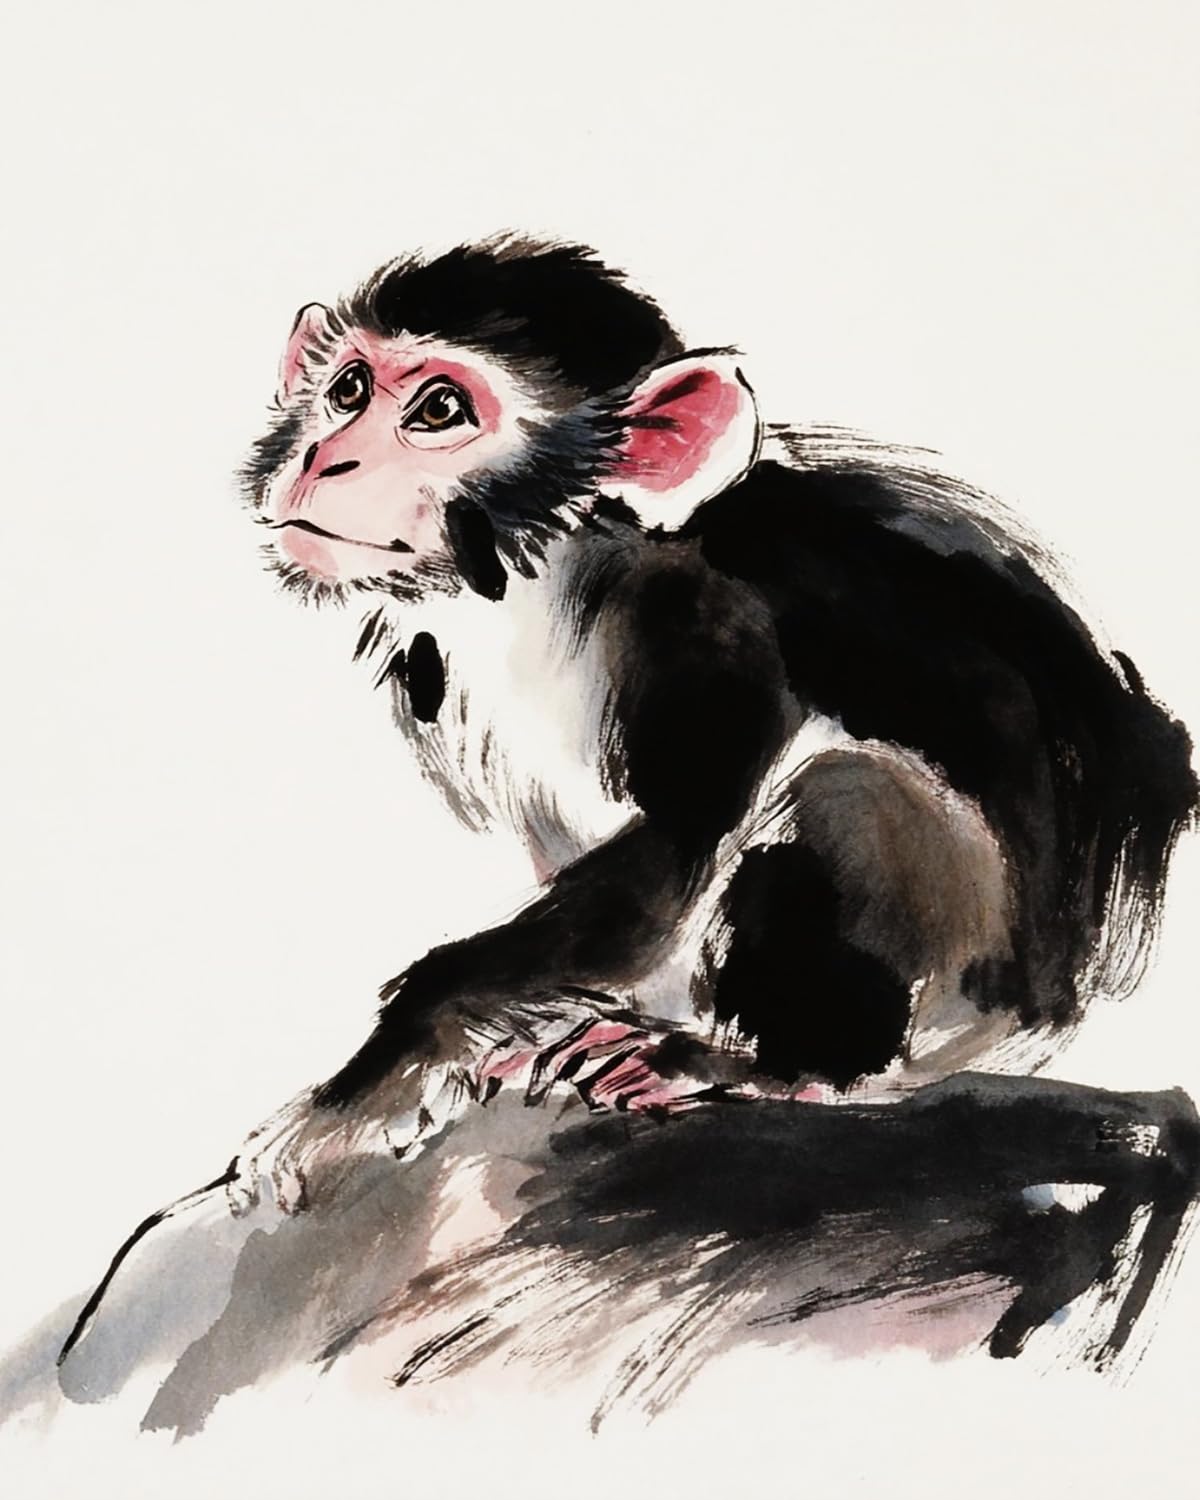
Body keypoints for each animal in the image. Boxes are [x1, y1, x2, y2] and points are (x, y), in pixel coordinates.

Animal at [57, 235, 1200, 1376]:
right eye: (347, 390)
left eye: (438, 409)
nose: (324, 458)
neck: (549, 574)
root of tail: (1072, 994)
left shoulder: (701, 626)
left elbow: (673, 851)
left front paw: (361, 1089)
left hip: (964, 996)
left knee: (855, 794)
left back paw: (765, 1066)